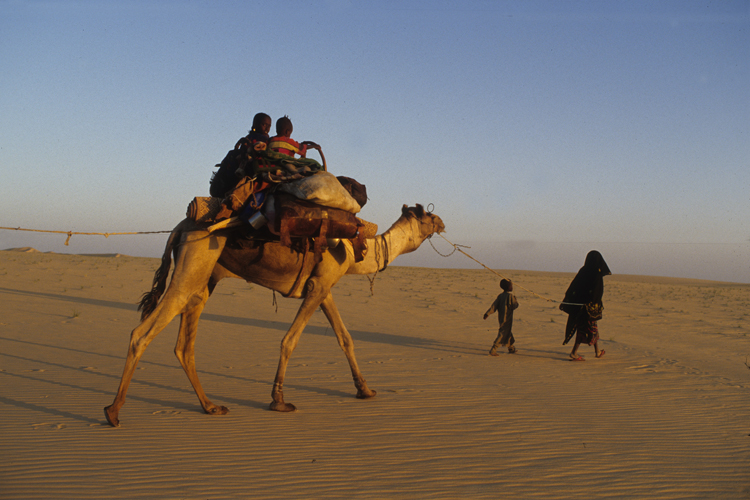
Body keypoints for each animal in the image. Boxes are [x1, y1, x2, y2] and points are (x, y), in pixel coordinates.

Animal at [103, 203, 444, 426]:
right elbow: (290, 340)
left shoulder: (324, 287)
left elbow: (345, 338)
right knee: (141, 334)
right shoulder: (319, 285)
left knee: (184, 346)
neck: (356, 251)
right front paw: (278, 400)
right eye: (428, 215)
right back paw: (113, 411)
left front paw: (365, 390)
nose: (442, 223)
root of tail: (180, 227)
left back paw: (211, 407)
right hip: (192, 266)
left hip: (204, 279)